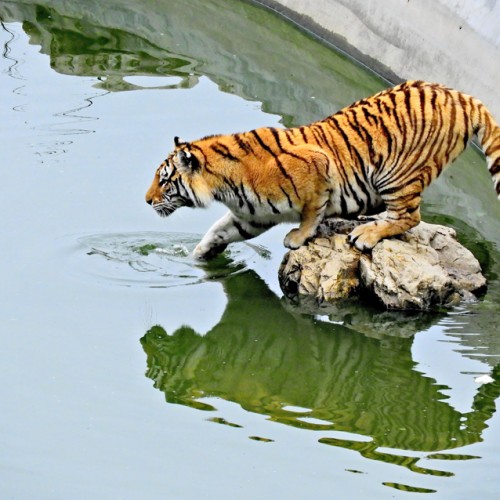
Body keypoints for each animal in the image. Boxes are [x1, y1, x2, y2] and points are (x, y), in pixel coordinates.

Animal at [145, 80, 500, 260]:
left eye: (164, 181)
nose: (147, 201)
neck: (225, 187)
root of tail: (465, 97)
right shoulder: (252, 217)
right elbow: (218, 231)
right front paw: (196, 256)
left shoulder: (318, 165)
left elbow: (313, 210)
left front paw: (298, 236)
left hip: (396, 173)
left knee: (409, 216)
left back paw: (365, 234)